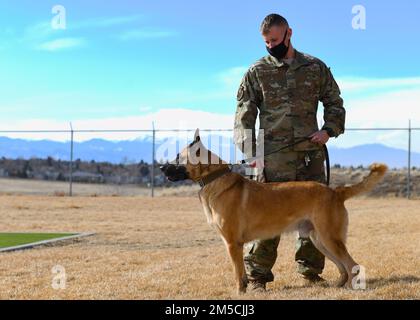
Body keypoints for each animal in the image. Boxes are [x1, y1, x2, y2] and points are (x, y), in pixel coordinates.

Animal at [160, 129, 388, 294]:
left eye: (177, 157)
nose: (161, 168)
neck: (214, 177)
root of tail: (335, 191)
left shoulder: (233, 244)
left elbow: (238, 273)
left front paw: (239, 292)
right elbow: (242, 274)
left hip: (329, 238)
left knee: (352, 264)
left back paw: (350, 287)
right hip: (320, 240)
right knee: (342, 267)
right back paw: (339, 286)